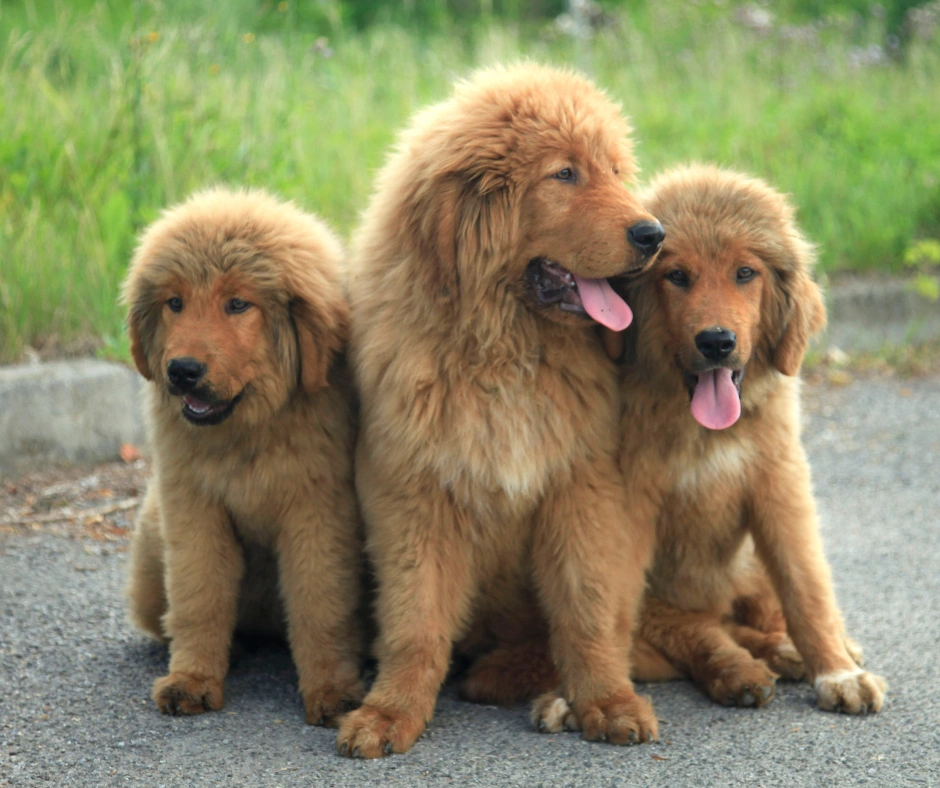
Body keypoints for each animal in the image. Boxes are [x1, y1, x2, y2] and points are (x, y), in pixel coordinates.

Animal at [122, 186, 364, 728]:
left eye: (237, 304)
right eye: (175, 303)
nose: (182, 370)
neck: (247, 437)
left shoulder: (317, 513)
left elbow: (321, 603)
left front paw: (333, 691)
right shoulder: (194, 507)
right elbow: (199, 594)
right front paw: (192, 680)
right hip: (150, 545)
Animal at [334, 63, 664, 756]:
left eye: (615, 172)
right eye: (564, 175)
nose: (654, 234)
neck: (505, 354)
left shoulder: (583, 487)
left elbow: (588, 612)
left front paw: (608, 702)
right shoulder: (413, 497)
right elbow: (415, 620)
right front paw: (390, 713)